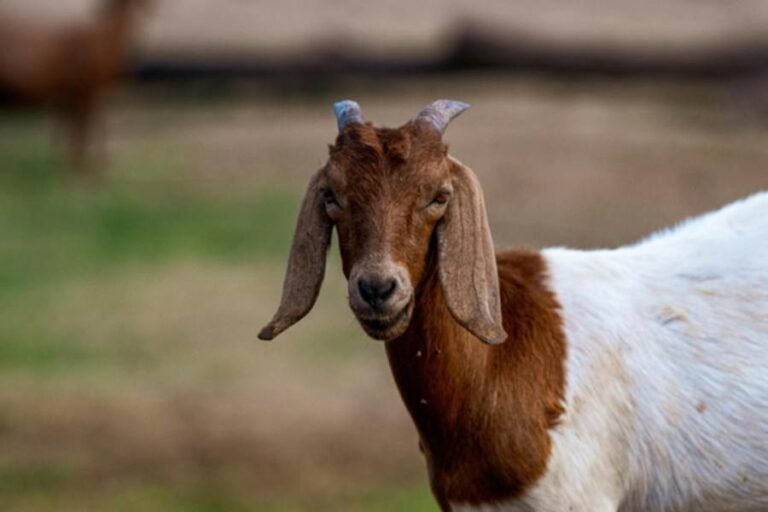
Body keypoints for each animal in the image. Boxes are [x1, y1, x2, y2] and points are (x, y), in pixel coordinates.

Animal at [0, 0, 146, 173]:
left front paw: (69, 163)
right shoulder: (84, 90)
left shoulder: (76, 93)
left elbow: (79, 125)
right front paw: (84, 167)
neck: (102, 39)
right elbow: (83, 127)